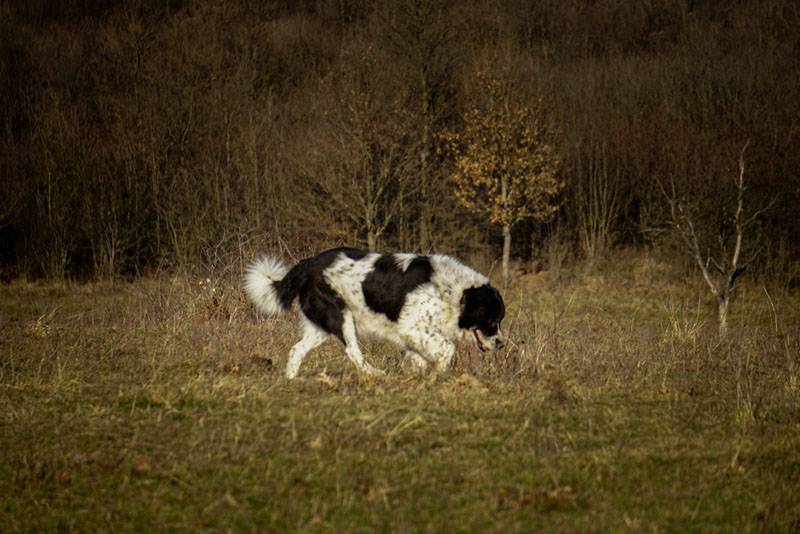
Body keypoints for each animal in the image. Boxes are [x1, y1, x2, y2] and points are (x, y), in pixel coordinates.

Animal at [244, 249, 506, 378]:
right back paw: (375, 374)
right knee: (352, 351)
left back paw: (291, 379)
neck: (455, 292)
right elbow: (447, 349)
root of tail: (307, 264)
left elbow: (419, 358)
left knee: (296, 349)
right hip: (342, 317)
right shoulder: (412, 326)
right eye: (491, 320)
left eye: (498, 320)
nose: (501, 344)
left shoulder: (416, 335)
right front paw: (438, 374)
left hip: (321, 327)